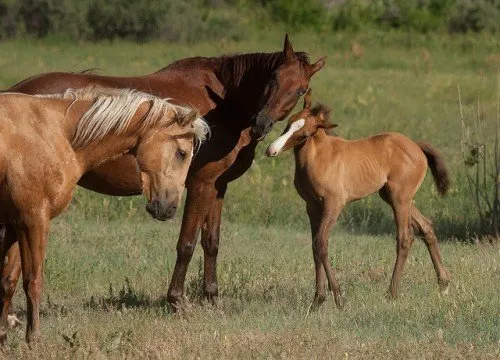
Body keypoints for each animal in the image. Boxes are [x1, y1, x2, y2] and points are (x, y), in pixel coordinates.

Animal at [0, 88, 207, 342]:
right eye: (181, 153)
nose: (169, 208)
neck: (55, 134)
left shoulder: (15, 224)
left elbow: (7, 282)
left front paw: (2, 334)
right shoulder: (34, 221)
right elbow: (33, 281)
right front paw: (34, 338)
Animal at [1, 35, 326, 310]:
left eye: (299, 90)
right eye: (273, 78)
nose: (261, 124)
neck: (224, 103)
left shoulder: (217, 186)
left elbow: (211, 242)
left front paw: (211, 297)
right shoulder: (200, 184)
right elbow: (187, 243)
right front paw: (176, 300)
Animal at [268, 89, 452, 306]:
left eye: (304, 134)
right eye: (289, 122)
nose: (271, 150)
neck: (319, 157)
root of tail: (416, 146)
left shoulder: (334, 204)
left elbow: (321, 243)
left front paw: (338, 297)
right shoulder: (312, 206)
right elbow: (314, 247)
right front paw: (318, 300)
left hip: (400, 197)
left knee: (405, 237)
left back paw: (392, 292)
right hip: (391, 196)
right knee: (426, 226)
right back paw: (444, 284)